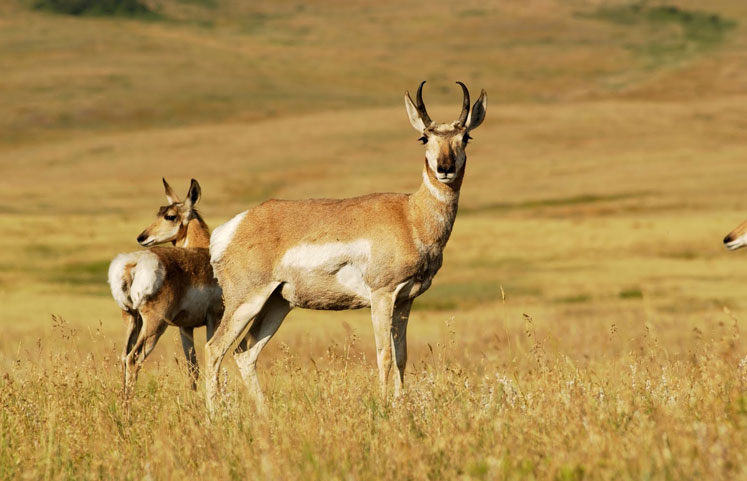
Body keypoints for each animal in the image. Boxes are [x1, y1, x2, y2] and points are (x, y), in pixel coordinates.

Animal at [108, 177, 224, 394]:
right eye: (159, 213)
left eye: (169, 215)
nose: (141, 237)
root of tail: (133, 263)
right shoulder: (215, 318)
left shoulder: (185, 327)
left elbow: (192, 367)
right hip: (155, 325)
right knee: (133, 358)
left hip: (132, 319)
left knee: (123, 356)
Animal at [206, 81, 486, 408]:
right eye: (424, 137)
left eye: (465, 137)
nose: (445, 168)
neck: (410, 215)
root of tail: (233, 227)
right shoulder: (382, 295)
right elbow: (384, 356)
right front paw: (384, 406)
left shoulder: (405, 300)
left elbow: (402, 357)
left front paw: (401, 406)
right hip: (247, 301)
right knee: (214, 349)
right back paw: (215, 413)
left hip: (277, 303)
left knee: (245, 353)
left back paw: (263, 413)